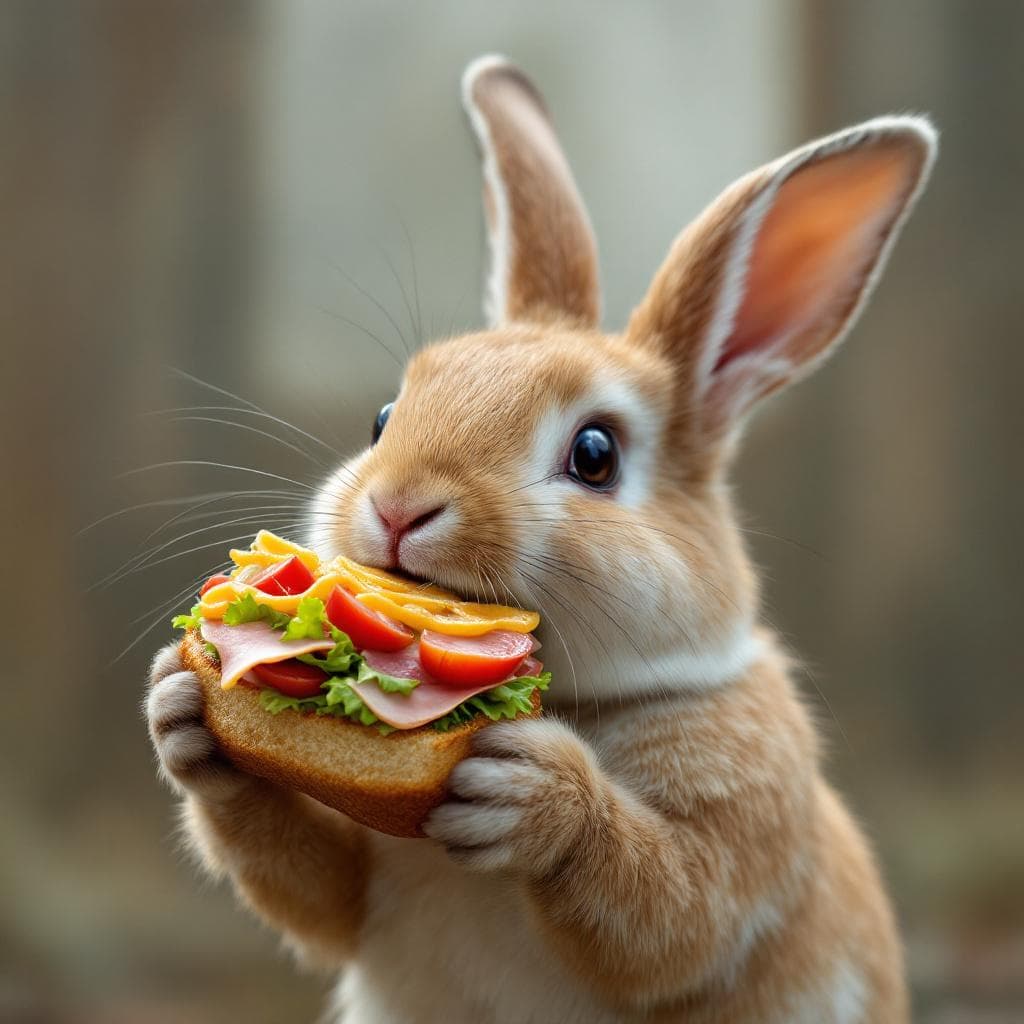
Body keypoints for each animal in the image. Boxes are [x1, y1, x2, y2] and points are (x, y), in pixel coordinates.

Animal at [146, 55, 935, 1023]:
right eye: (383, 418)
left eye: (595, 454)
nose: (400, 506)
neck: (580, 705)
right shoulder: (351, 881)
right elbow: (306, 881)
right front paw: (177, 709)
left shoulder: (737, 834)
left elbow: (669, 911)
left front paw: (533, 795)